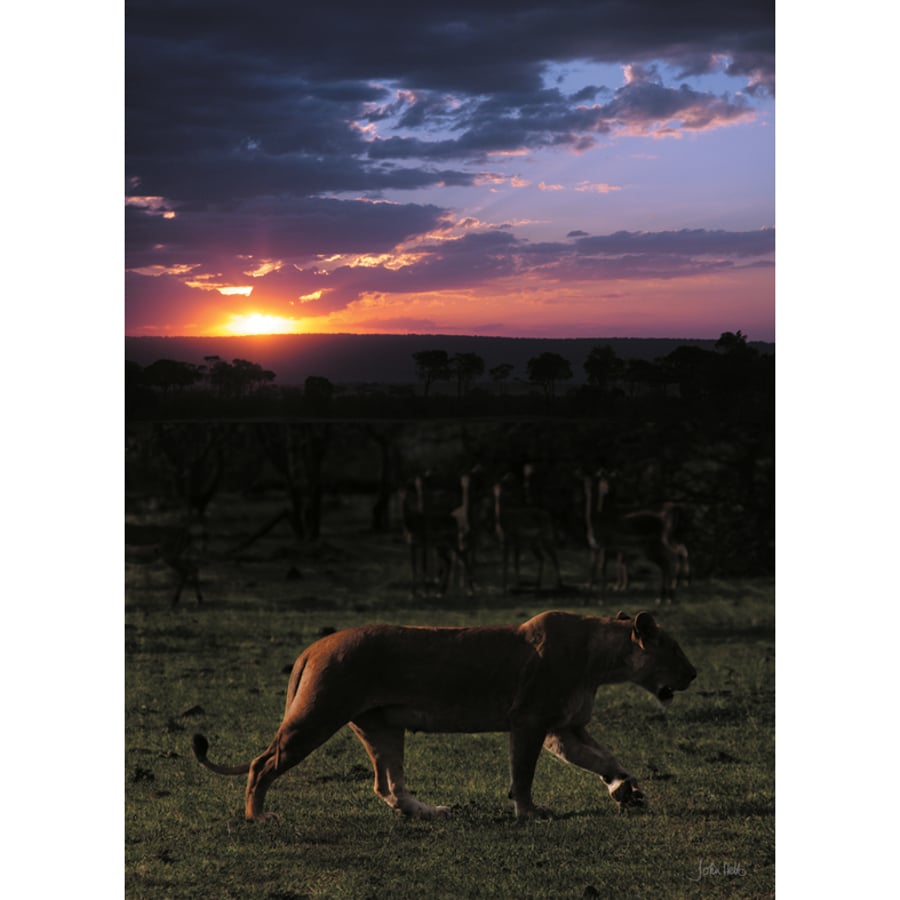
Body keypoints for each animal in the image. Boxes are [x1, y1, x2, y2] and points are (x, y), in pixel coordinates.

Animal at [193, 609, 697, 821]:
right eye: (674, 648)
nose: (694, 673)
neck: (600, 661)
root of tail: (313, 647)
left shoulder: (563, 728)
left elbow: (604, 757)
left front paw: (625, 790)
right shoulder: (530, 720)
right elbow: (523, 773)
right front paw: (529, 812)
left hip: (382, 726)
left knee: (387, 785)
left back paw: (432, 811)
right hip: (317, 715)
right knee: (261, 764)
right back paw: (258, 817)